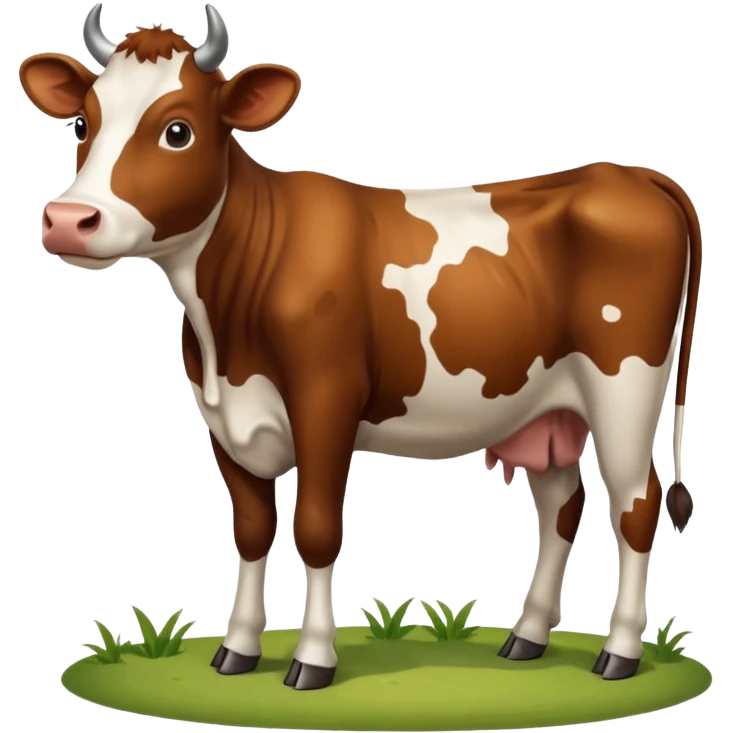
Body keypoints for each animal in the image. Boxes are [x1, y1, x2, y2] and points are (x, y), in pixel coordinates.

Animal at [19, 2, 702, 691]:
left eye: (178, 131)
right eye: (83, 122)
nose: (69, 221)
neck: (226, 330)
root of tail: (629, 176)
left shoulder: (326, 401)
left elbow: (317, 528)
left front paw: (312, 660)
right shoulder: (223, 418)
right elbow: (253, 531)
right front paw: (238, 650)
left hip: (624, 391)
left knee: (636, 506)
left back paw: (619, 653)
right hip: (546, 408)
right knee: (564, 505)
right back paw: (527, 638)